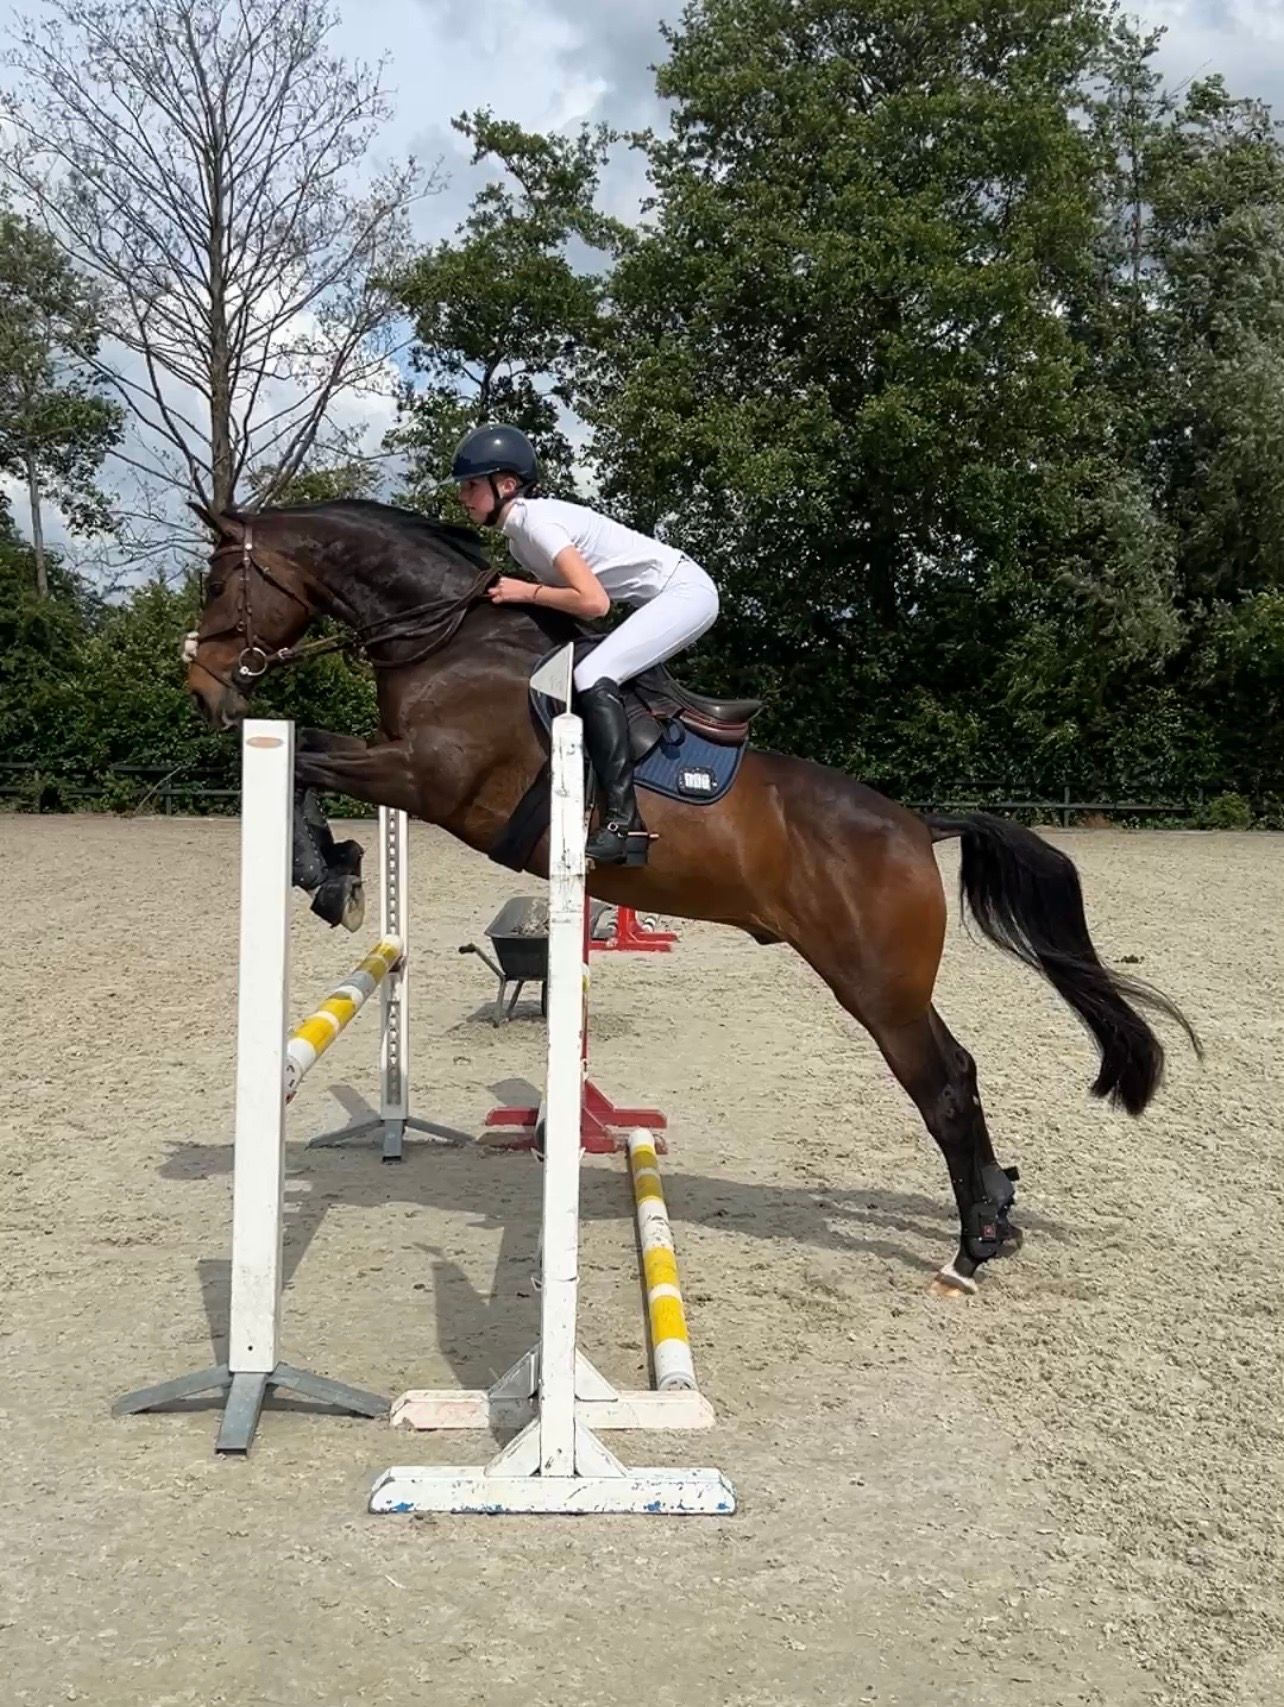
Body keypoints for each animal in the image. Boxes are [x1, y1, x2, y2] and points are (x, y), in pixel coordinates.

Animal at [185, 497, 1199, 1297]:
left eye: (215, 582)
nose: (201, 689)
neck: (448, 638)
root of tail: (918, 825)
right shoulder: (402, 769)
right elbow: (308, 747)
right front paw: (338, 870)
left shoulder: (427, 778)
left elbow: (306, 756)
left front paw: (329, 873)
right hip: (891, 984)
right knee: (961, 1072)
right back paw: (997, 1211)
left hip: (876, 984)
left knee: (943, 1083)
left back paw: (974, 1244)